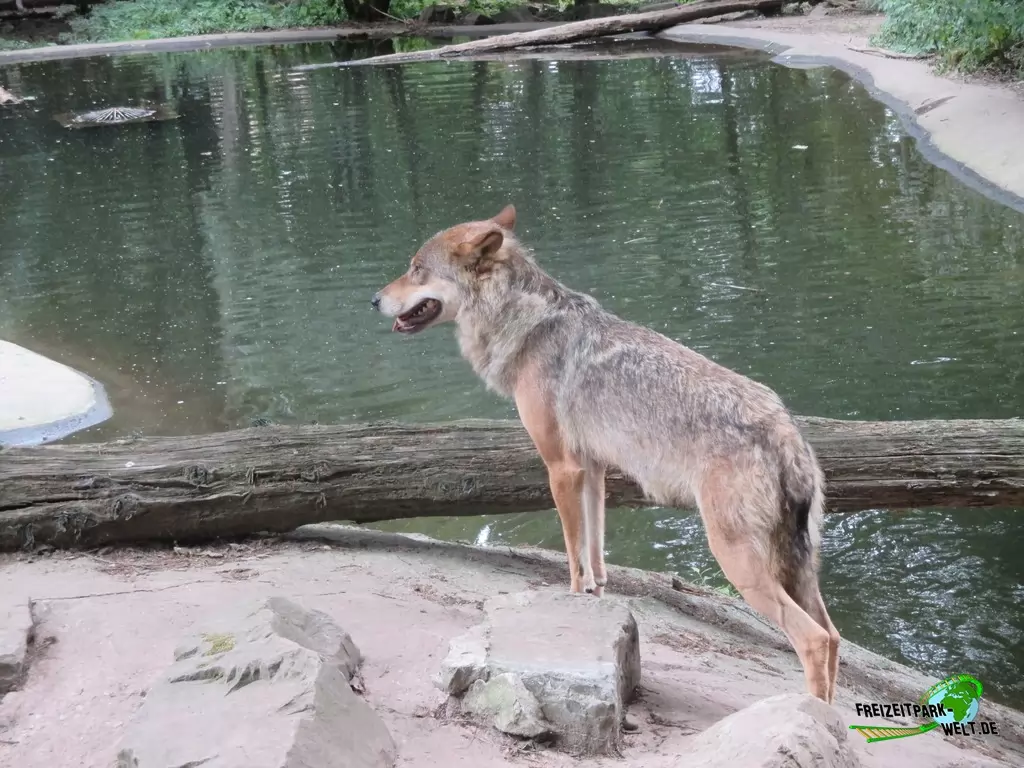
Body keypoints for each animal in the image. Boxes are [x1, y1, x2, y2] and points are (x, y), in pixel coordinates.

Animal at [371, 204, 841, 703]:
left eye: (416, 269)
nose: (374, 300)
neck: (525, 323)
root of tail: (785, 432)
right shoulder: (593, 471)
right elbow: (596, 557)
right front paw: (595, 606)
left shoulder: (560, 469)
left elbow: (573, 558)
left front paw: (574, 601)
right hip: (795, 570)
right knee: (833, 637)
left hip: (740, 565)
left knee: (813, 639)